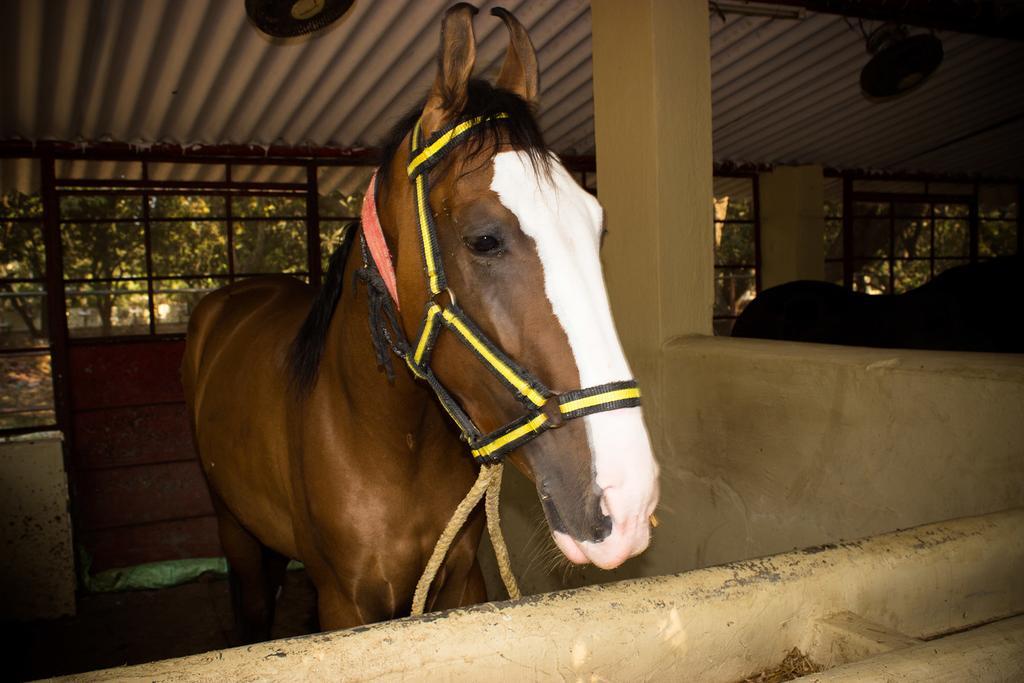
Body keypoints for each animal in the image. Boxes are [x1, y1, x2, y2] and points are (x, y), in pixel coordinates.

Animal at [181, 3, 659, 643]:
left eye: (597, 228)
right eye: (484, 239)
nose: (627, 500)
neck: (394, 438)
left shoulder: (460, 580)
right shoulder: (345, 604)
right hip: (235, 530)